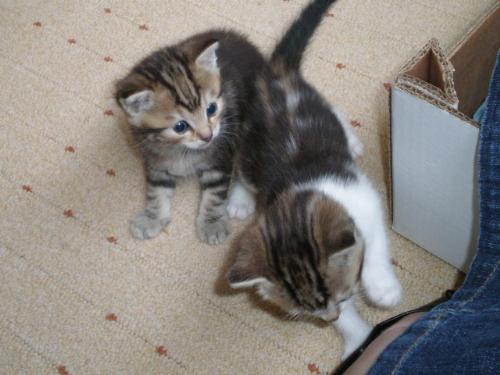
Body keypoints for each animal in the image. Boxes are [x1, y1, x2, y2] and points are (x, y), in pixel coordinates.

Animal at [116, 30, 266, 245]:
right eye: (180, 126)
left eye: (211, 109)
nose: (207, 136)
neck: (181, 150)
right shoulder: (155, 160)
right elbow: (156, 190)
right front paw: (153, 217)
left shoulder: (221, 156)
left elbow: (215, 193)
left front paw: (212, 223)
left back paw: (241, 201)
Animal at [227, 0, 402, 358]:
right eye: (309, 311)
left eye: (346, 294)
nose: (327, 318)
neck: (311, 190)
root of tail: (277, 76)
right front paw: (357, 336)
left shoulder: (364, 195)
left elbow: (375, 241)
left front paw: (382, 288)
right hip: (250, 149)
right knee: (243, 170)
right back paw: (239, 200)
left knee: (333, 109)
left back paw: (352, 140)